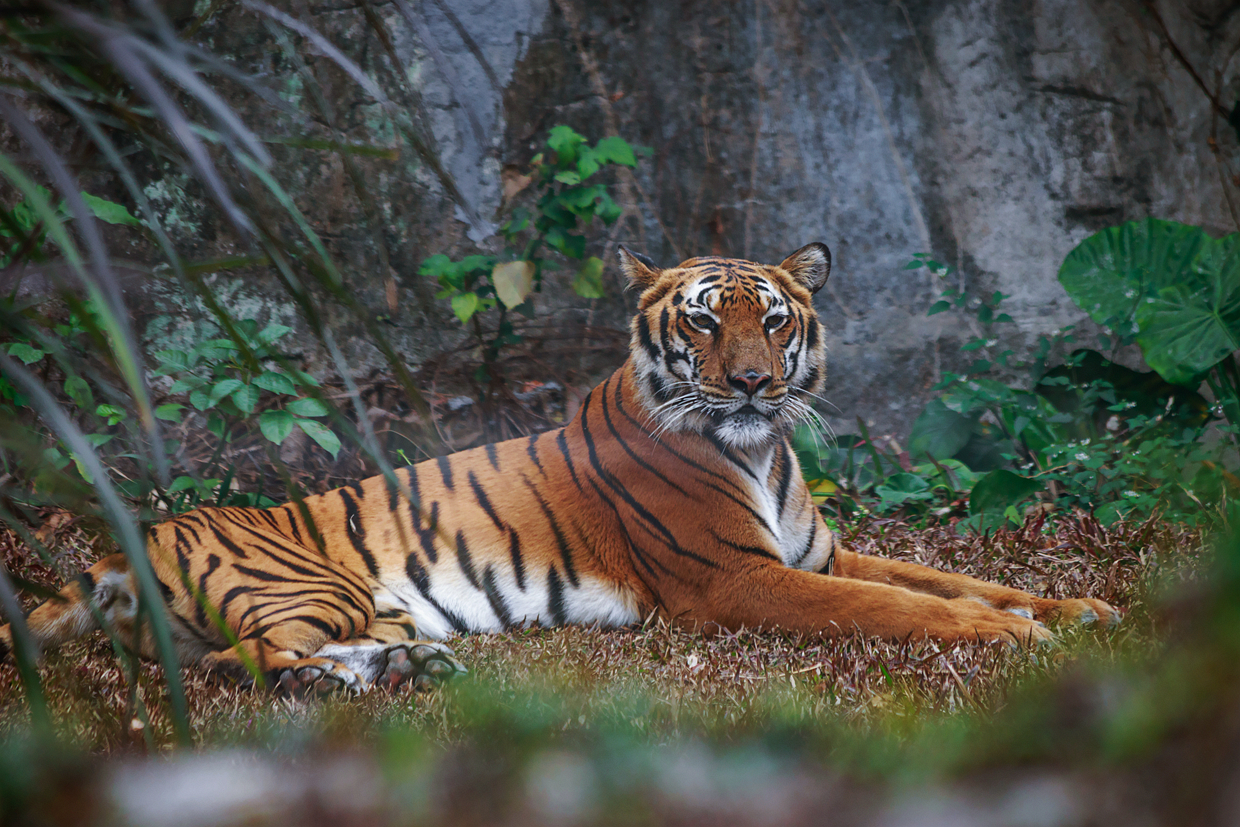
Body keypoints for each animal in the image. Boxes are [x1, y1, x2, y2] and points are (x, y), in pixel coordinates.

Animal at [0, 243, 1121, 695]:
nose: (753, 383)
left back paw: (408, 668)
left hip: (365, 607)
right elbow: (901, 607)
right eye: (704, 320)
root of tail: (125, 538)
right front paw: (1010, 636)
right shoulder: (739, 578)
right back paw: (363, 682)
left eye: (773, 318)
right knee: (245, 663)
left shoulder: (819, 554)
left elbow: (951, 575)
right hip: (306, 583)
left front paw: (1082, 609)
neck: (761, 451)